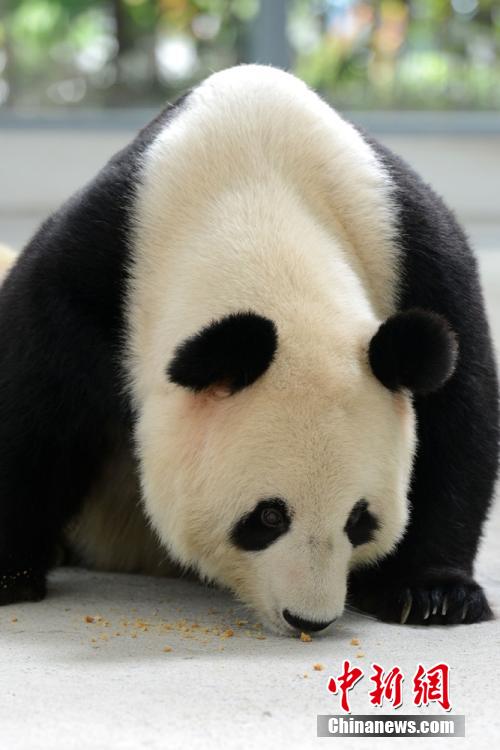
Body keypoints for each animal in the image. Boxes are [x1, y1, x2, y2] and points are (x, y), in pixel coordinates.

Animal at [0, 65, 497, 634]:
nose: (309, 620)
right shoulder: (99, 264)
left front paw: (432, 592)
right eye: (268, 516)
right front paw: (8, 573)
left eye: (359, 519)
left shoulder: (407, 244)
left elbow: (456, 411)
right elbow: (33, 404)